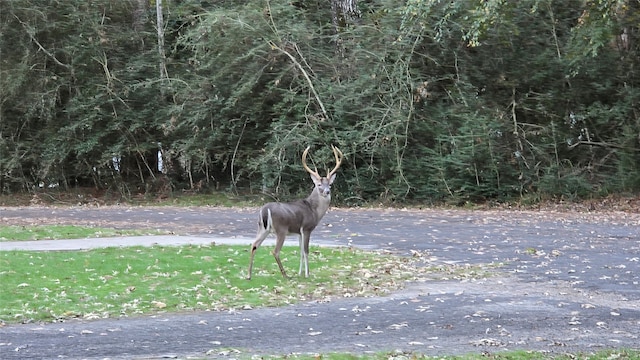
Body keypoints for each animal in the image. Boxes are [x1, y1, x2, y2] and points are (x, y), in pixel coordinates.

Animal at [246, 145, 344, 280]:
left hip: (262, 228)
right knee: (275, 251)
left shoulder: (299, 232)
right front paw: (307, 274)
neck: (314, 210)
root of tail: (265, 210)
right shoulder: (307, 228)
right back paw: (285, 275)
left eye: (330, 184)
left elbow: (301, 252)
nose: (327, 191)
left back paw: (249, 275)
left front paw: (300, 273)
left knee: (254, 245)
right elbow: (306, 251)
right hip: (281, 229)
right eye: (319, 184)